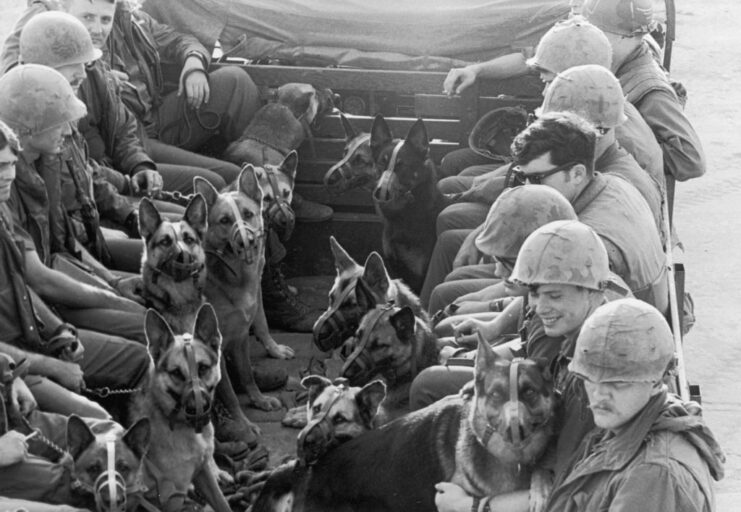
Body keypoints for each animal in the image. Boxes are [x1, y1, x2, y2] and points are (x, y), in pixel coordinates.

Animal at [129, 304, 230, 512]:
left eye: (202, 368)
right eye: (176, 373)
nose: (197, 410)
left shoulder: (203, 472)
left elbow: (222, 503)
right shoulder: (171, 499)